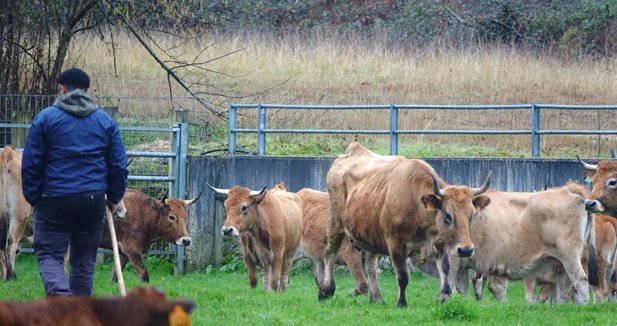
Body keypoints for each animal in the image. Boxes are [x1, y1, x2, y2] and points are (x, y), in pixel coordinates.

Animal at [318, 142, 490, 306]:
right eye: (448, 215)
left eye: (472, 215)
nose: (466, 250)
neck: (417, 205)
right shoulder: (396, 244)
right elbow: (403, 276)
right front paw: (401, 303)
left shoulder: (441, 243)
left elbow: (446, 270)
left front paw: (443, 297)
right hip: (335, 222)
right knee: (330, 252)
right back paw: (326, 289)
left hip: (371, 235)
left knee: (370, 265)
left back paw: (376, 298)